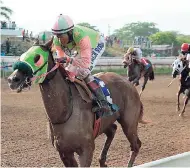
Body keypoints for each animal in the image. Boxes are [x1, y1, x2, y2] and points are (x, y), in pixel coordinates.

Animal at [7, 39, 147, 167]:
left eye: (37, 57)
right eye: (21, 56)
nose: (12, 79)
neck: (65, 112)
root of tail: (129, 83)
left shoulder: (86, 149)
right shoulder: (64, 152)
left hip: (129, 123)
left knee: (136, 145)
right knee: (112, 130)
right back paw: (102, 161)